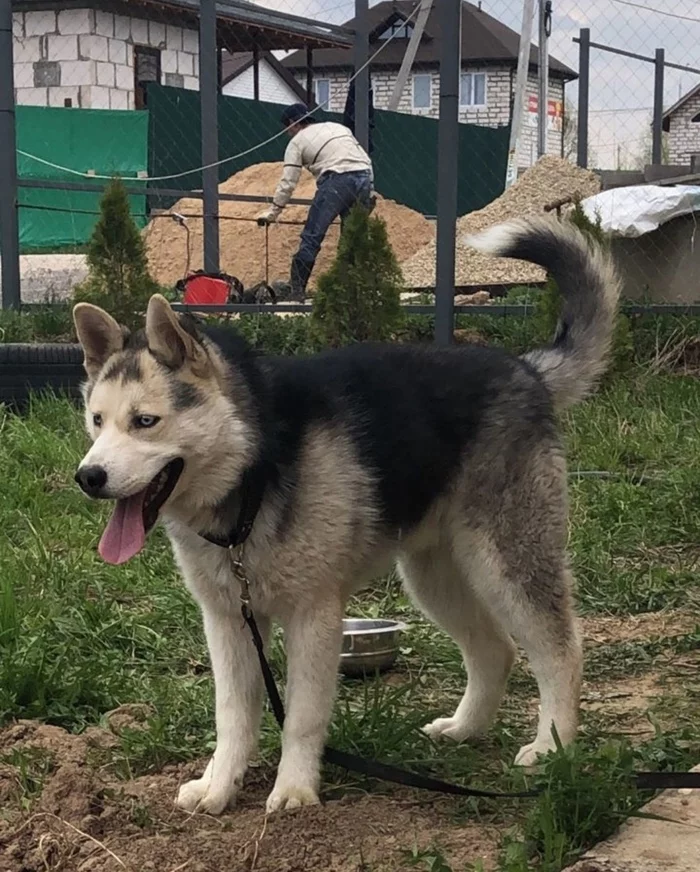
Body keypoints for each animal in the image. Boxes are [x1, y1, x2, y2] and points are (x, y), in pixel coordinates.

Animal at [71, 216, 616, 812]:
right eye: (96, 420)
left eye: (145, 421)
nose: (88, 477)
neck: (253, 469)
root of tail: (525, 369)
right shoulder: (230, 622)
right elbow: (233, 715)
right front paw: (219, 786)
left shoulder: (315, 617)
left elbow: (301, 716)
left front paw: (294, 789)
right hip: (434, 578)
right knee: (495, 650)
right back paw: (465, 728)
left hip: (507, 565)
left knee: (560, 651)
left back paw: (553, 745)